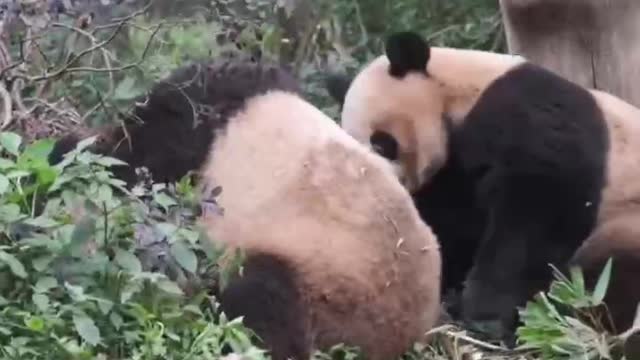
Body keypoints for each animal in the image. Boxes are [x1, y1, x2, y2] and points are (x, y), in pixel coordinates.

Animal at [328, 31, 640, 344]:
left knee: (609, 271)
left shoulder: (532, 113)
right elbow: (455, 222)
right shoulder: (452, 173)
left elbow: (536, 210)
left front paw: (486, 317)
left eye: (382, 143)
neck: (460, 94)